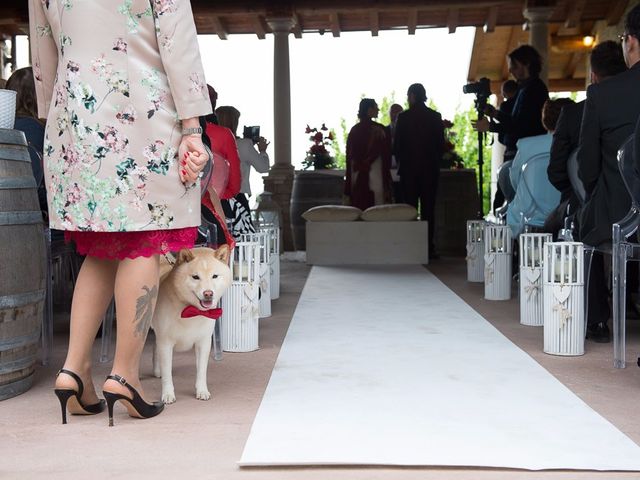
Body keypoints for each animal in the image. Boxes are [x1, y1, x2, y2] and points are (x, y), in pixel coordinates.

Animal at [151, 246, 231, 404]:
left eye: (214, 276)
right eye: (195, 277)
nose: (208, 293)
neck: (191, 310)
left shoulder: (203, 342)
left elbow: (201, 371)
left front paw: (202, 391)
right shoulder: (166, 343)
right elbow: (167, 374)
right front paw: (168, 394)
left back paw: (157, 371)